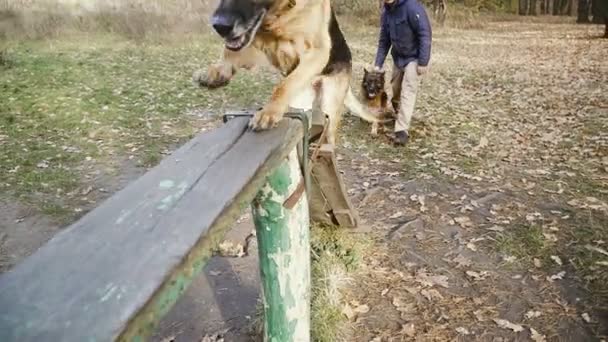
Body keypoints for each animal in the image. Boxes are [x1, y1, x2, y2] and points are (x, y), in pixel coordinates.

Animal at [194, 0, 380, 146]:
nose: (219, 26)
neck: (282, 16)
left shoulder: (317, 52)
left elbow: (285, 84)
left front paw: (269, 111)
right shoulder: (256, 40)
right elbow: (229, 51)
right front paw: (217, 71)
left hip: (329, 105)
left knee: (329, 136)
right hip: (302, 102)